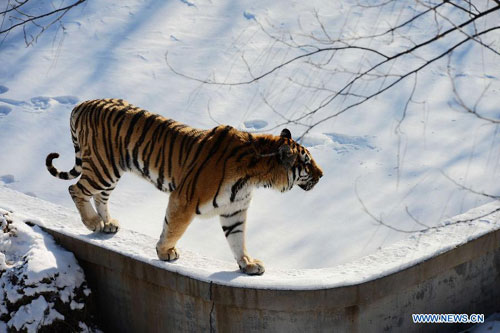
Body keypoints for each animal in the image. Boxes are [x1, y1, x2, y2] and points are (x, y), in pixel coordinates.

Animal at [45, 98, 322, 274]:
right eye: (307, 164)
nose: (322, 175)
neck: (254, 177)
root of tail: (81, 104)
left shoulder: (234, 210)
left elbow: (237, 239)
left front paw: (247, 264)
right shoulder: (185, 199)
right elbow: (174, 228)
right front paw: (165, 252)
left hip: (111, 171)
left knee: (99, 196)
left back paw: (107, 224)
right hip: (103, 167)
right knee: (76, 189)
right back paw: (93, 223)